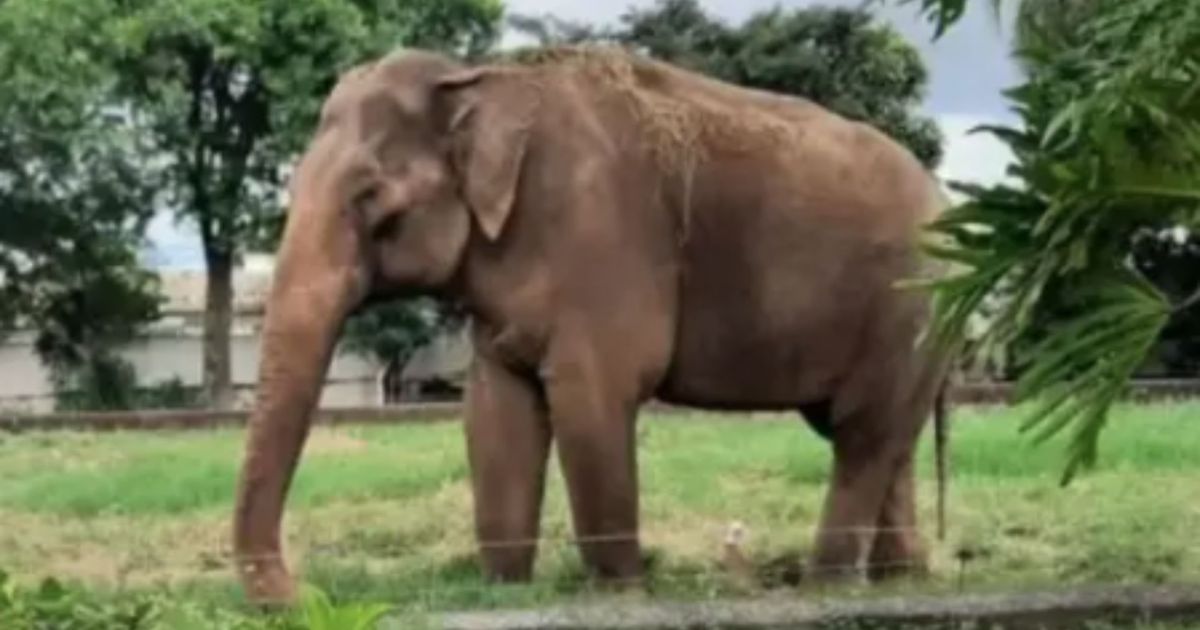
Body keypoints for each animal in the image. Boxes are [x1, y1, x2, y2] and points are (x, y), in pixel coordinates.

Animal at [232, 45, 952, 605]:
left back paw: (827, 585)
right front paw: (504, 589)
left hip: (908, 305)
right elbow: (495, 412)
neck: (480, 78)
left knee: (862, 433)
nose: (308, 593)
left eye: (371, 199)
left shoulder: (601, 240)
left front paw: (620, 592)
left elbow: (591, 399)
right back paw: (900, 578)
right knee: (878, 434)